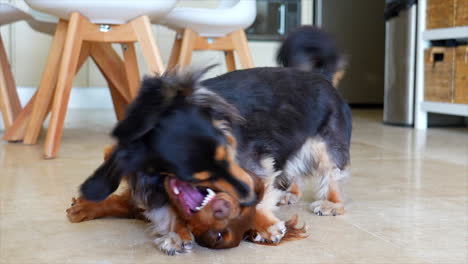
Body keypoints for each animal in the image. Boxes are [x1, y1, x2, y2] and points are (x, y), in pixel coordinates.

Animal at [66, 25, 352, 255]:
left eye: (228, 156)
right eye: (197, 177)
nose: (250, 194)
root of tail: (322, 76)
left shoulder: (257, 166)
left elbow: (262, 193)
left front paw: (265, 225)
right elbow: (165, 210)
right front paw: (176, 233)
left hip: (326, 146)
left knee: (330, 174)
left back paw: (331, 203)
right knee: (294, 171)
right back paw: (289, 194)